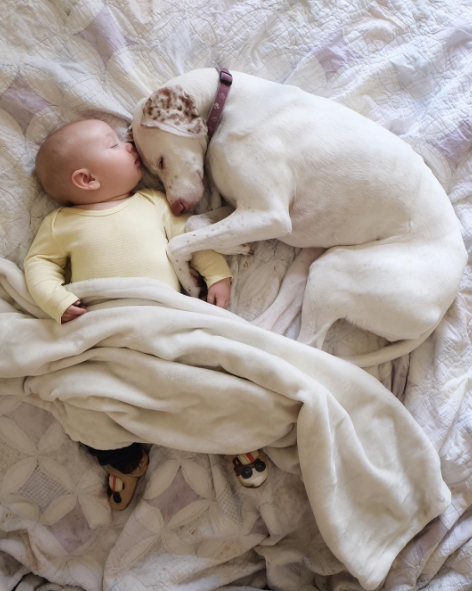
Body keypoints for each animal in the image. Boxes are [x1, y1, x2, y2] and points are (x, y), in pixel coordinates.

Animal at [131, 68, 466, 366]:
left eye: (160, 161)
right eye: (149, 168)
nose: (176, 207)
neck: (230, 101)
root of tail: (442, 307)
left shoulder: (269, 214)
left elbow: (177, 243)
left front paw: (189, 280)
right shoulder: (243, 208)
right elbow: (195, 224)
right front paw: (236, 247)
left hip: (334, 271)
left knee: (309, 348)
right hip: (309, 265)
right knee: (278, 321)